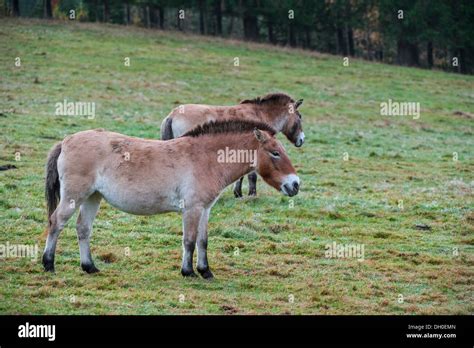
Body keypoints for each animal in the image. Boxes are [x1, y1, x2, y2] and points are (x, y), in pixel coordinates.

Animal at [42, 119, 298, 280]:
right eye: (275, 152)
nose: (295, 185)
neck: (205, 158)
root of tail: (65, 141)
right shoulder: (192, 209)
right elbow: (189, 240)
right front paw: (188, 272)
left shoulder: (205, 209)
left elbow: (203, 241)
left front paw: (206, 271)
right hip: (75, 196)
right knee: (56, 223)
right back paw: (48, 264)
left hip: (93, 197)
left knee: (83, 228)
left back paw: (90, 267)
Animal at [161, 92, 306, 197]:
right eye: (299, 116)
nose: (302, 139)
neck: (259, 113)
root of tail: (173, 115)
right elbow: (251, 176)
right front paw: (249, 194)